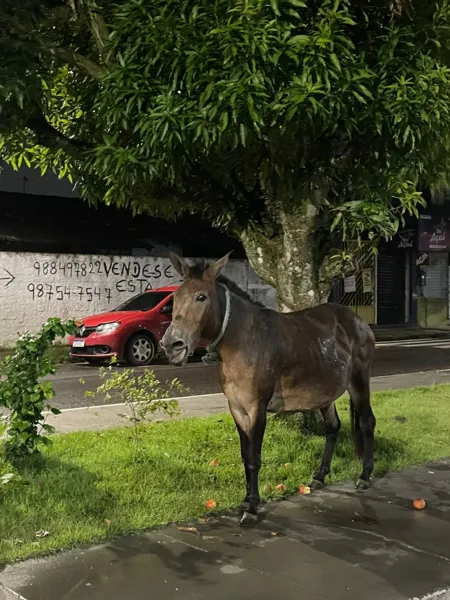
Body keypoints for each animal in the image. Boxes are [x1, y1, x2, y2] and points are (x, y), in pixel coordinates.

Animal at [162, 253, 376, 524]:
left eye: (201, 297)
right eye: (175, 297)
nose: (172, 345)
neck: (242, 340)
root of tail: (358, 321)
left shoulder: (257, 407)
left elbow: (255, 457)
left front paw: (252, 507)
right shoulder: (236, 408)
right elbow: (245, 456)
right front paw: (245, 500)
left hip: (359, 379)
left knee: (367, 422)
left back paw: (365, 476)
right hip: (324, 390)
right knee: (332, 427)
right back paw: (319, 476)